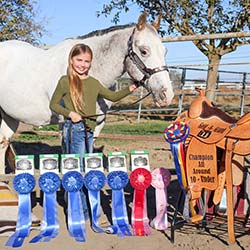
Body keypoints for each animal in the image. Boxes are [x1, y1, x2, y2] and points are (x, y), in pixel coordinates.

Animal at [0, 12, 174, 174]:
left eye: (165, 51)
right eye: (144, 51)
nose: (167, 95)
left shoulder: (97, 122)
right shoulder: (65, 122)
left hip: (9, 116)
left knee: (3, 142)